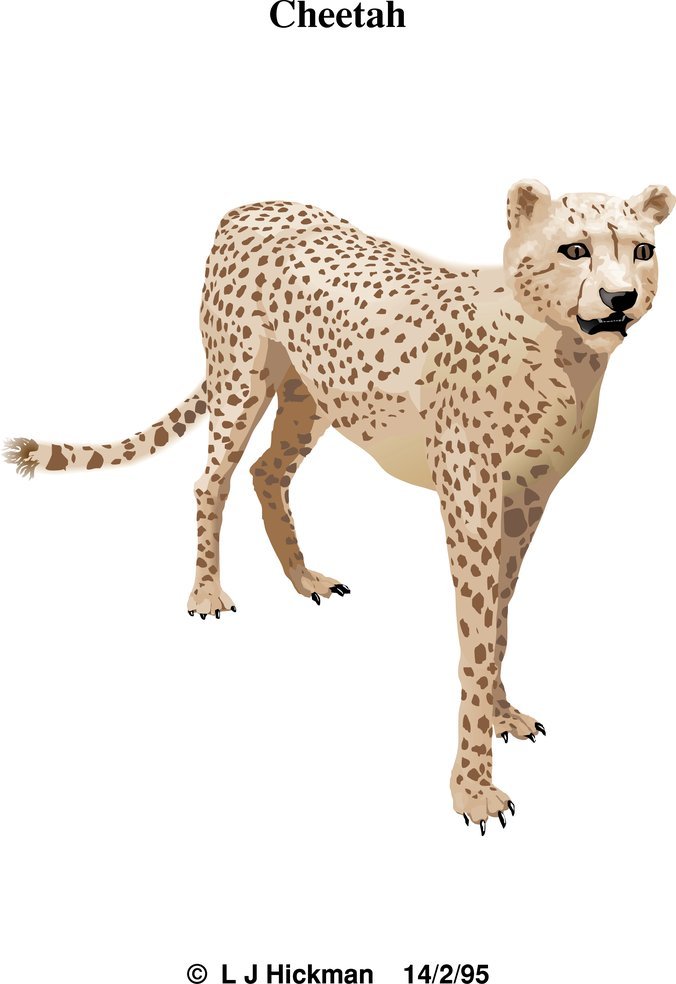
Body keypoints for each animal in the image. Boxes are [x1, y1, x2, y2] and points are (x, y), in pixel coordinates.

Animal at [6, 180, 673, 832]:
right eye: (574, 250)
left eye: (642, 250)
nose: (619, 298)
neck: (558, 349)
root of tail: (249, 204)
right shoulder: (470, 501)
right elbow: (477, 637)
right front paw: (473, 791)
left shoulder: (527, 500)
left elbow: (502, 622)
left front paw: (504, 715)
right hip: (240, 380)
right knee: (211, 481)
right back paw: (206, 592)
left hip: (313, 394)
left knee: (267, 472)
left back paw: (304, 579)